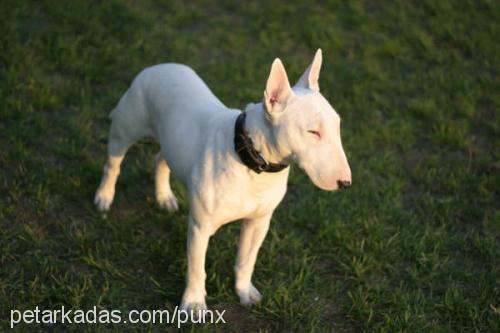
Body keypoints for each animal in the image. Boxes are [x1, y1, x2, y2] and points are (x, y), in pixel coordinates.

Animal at [94, 49, 352, 312]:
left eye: (338, 125)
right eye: (313, 132)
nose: (346, 183)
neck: (251, 161)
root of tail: (157, 67)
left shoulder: (259, 222)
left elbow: (247, 259)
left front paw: (244, 291)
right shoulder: (199, 227)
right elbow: (197, 269)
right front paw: (194, 303)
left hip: (170, 141)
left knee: (160, 159)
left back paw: (164, 197)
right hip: (125, 131)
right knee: (112, 165)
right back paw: (104, 197)